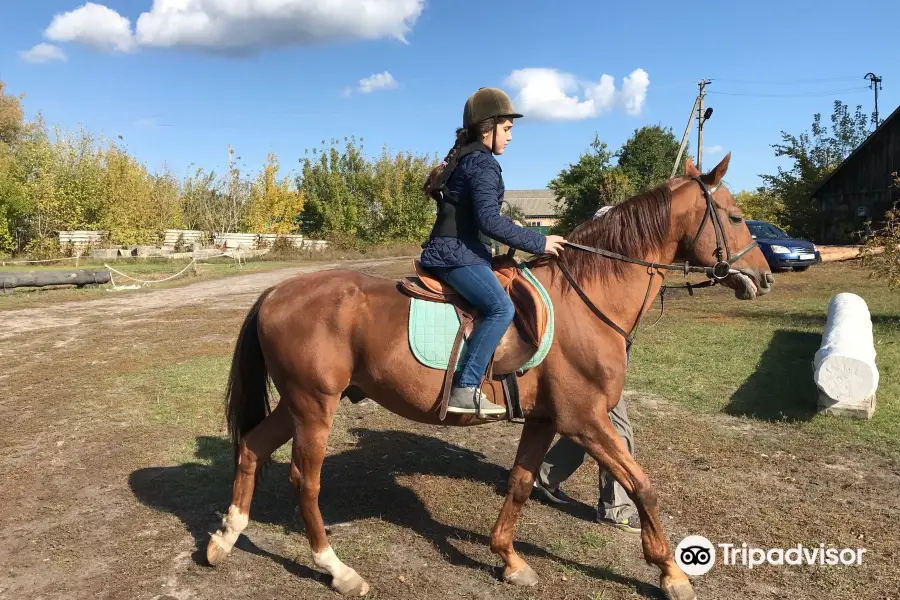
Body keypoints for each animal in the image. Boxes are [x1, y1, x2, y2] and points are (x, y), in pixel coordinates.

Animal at [204, 156, 772, 600]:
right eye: (736, 216)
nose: (764, 277)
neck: (585, 301)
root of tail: (275, 293)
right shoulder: (585, 420)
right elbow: (643, 485)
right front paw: (672, 572)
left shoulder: (546, 419)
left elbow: (520, 482)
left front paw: (509, 559)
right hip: (314, 407)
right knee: (306, 480)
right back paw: (338, 570)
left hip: (297, 404)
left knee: (252, 447)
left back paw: (225, 538)